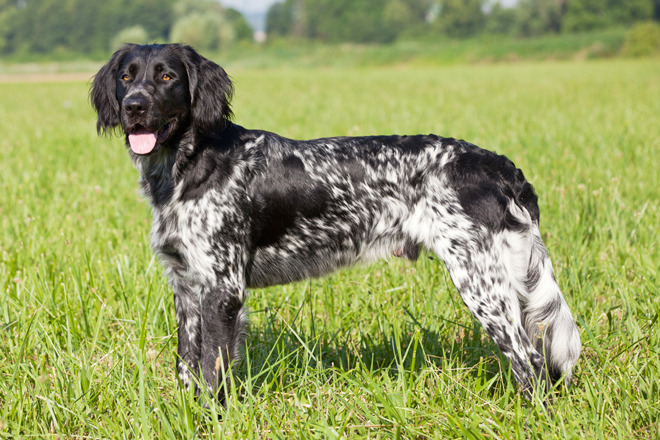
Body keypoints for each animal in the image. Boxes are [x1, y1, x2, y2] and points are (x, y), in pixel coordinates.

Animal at [90, 43, 580, 404]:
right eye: (127, 77)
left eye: (167, 77)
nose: (134, 106)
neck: (191, 164)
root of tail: (501, 167)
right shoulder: (187, 286)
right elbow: (187, 367)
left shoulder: (222, 289)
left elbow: (213, 374)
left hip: (481, 282)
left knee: (532, 363)